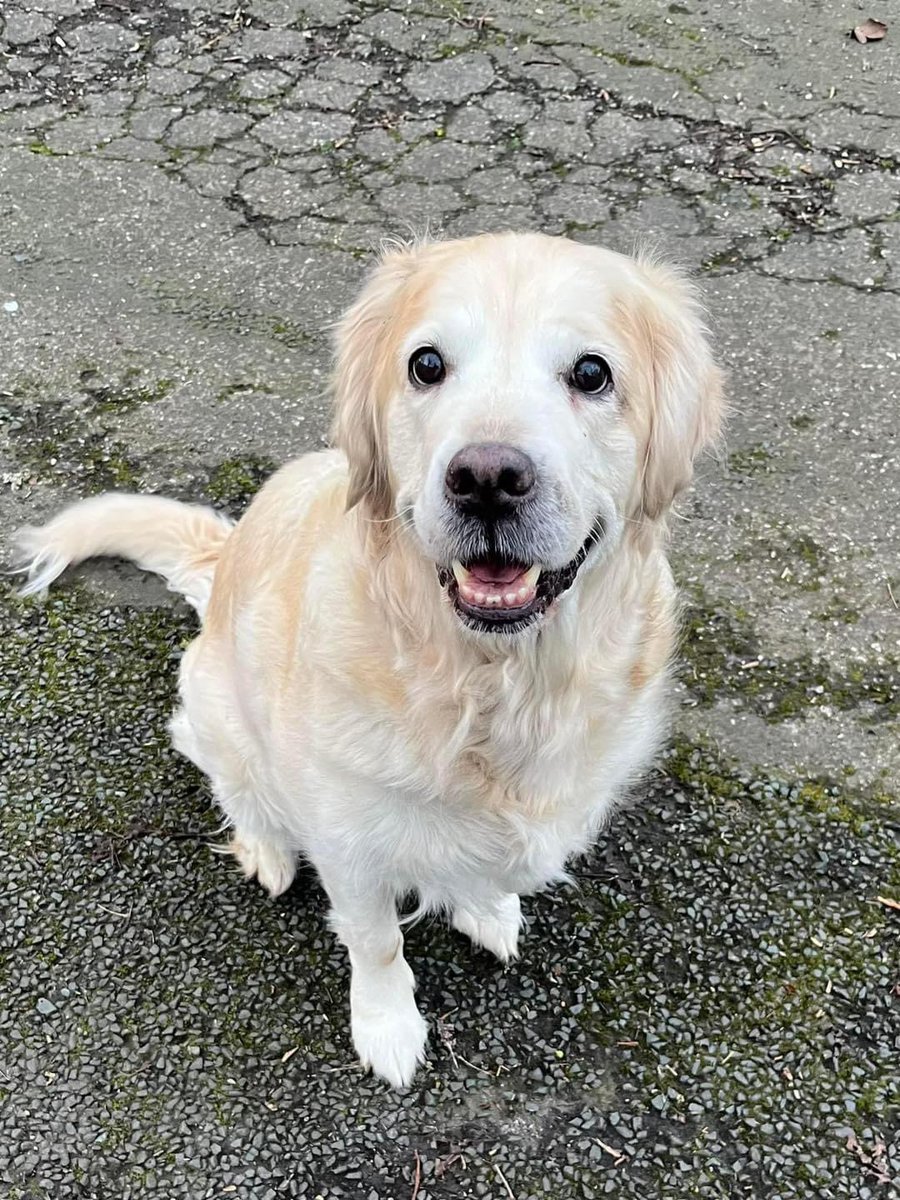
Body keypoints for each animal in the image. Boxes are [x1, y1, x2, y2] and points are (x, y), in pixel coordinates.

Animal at [12, 231, 724, 1089]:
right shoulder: (350, 843)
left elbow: (486, 870)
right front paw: (388, 1027)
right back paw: (265, 848)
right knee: (231, 782)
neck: (493, 684)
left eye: (592, 373)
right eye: (426, 364)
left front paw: (487, 908)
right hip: (214, 703)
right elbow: (377, 941)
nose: (488, 480)